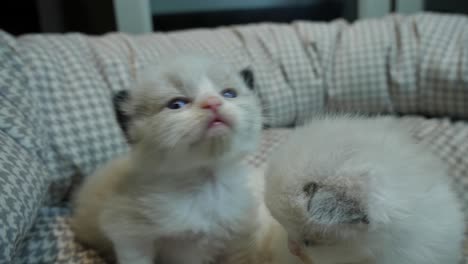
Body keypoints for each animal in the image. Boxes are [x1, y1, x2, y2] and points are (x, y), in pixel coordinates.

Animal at [72, 54, 264, 264]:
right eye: (177, 104)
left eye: (229, 93)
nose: (213, 102)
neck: (206, 183)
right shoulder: (129, 234)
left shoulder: (238, 237)